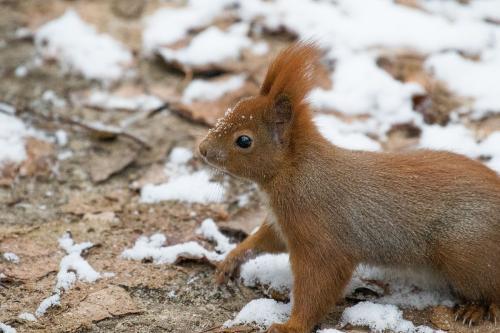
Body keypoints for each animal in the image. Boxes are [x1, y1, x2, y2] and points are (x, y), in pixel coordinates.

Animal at [198, 42, 500, 332]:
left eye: (244, 141)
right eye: (232, 108)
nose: (202, 149)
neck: (295, 171)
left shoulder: (319, 234)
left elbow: (320, 281)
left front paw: (291, 326)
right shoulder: (283, 225)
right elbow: (263, 240)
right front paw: (230, 259)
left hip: (465, 251)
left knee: (491, 285)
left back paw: (476, 309)